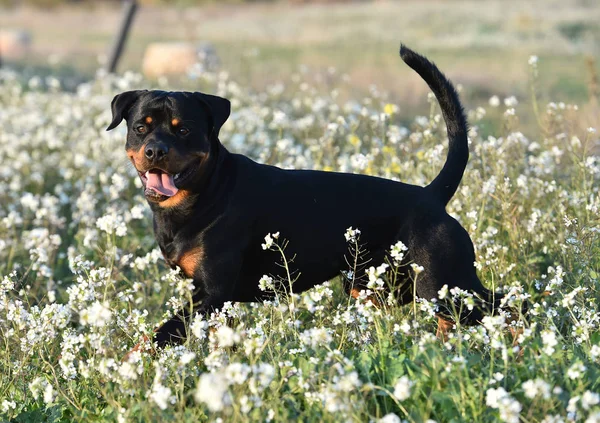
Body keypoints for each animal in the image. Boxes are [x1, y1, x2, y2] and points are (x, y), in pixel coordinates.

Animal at [108, 45, 510, 348]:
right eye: (141, 128)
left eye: (184, 130)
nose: (155, 151)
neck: (203, 193)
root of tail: (431, 196)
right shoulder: (215, 300)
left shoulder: (211, 291)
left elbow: (158, 334)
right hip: (374, 286)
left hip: (443, 283)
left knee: (504, 305)